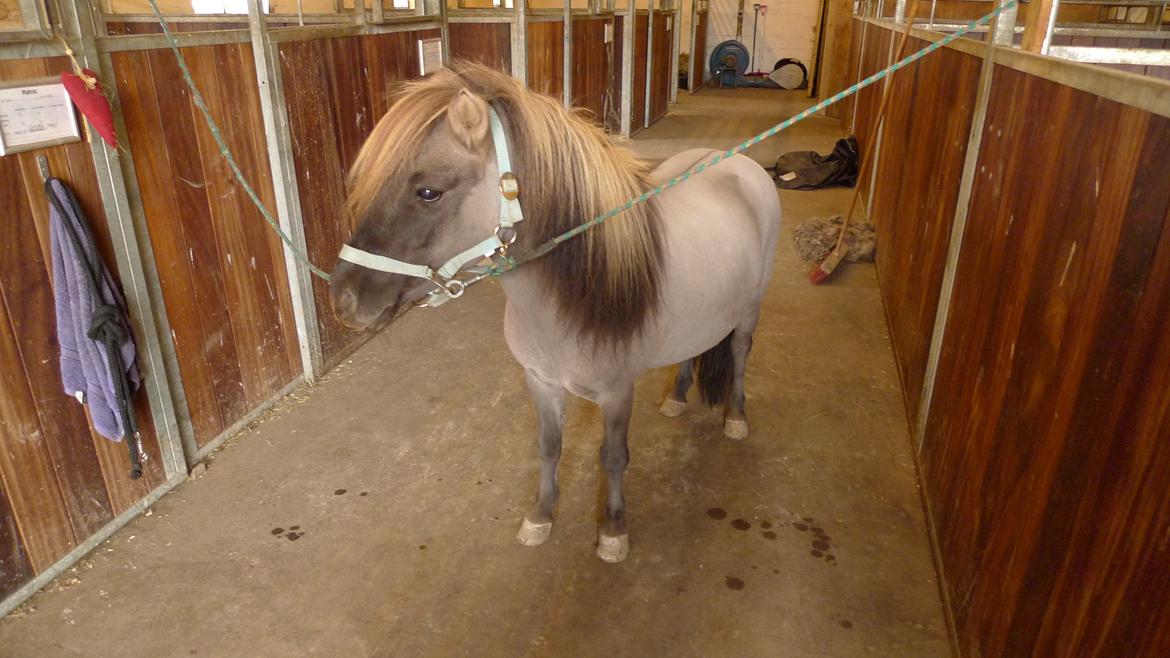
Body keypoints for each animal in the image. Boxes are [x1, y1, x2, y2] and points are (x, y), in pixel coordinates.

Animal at [329, 64, 781, 561]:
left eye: (429, 192)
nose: (344, 298)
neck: (572, 293)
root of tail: (736, 164)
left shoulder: (617, 394)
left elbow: (613, 457)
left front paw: (613, 531)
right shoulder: (541, 382)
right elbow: (549, 447)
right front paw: (541, 516)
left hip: (750, 310)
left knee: (739, 351)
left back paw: (736, 417)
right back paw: (677, 398)